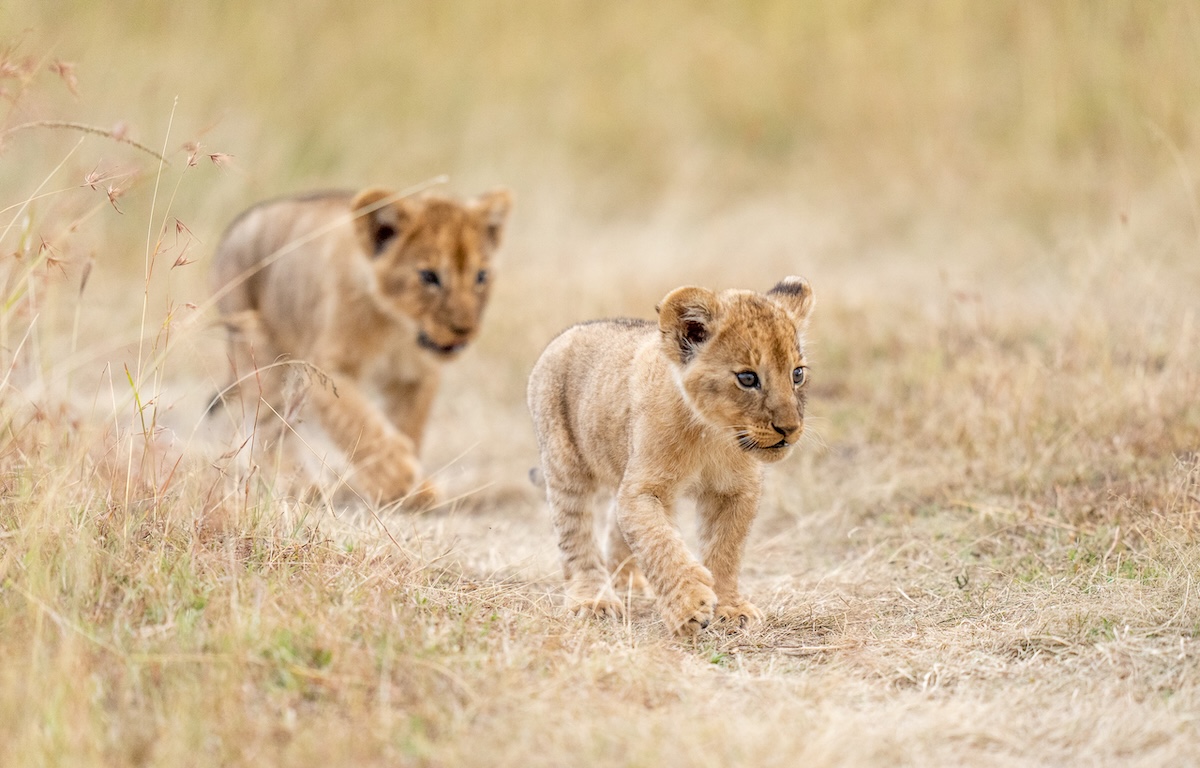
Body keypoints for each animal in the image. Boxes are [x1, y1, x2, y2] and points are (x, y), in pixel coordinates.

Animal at [210, 185, 512, 506]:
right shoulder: (324, 370)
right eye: (429, 276)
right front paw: (394, 477)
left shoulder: (417, 376)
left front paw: (415, 491)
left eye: (481, 276)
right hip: (259, 352)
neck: (396, 326)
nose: (463, 330)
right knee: (267, 423)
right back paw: (299, 485)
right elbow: (358, 422)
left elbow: (410, 427)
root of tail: (236, 225)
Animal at [527, 276, 814, 636]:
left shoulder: (737, 492)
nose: (789, 428)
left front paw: (730, 609)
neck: (713, 436)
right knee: (576, 535)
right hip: (566, 467)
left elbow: (725, 551)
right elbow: (660, 542)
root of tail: (569, 332)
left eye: (797, 374)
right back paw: (593, 600)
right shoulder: (644, 488)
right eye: (748, 378)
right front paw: (688, 605)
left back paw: (629, 582)